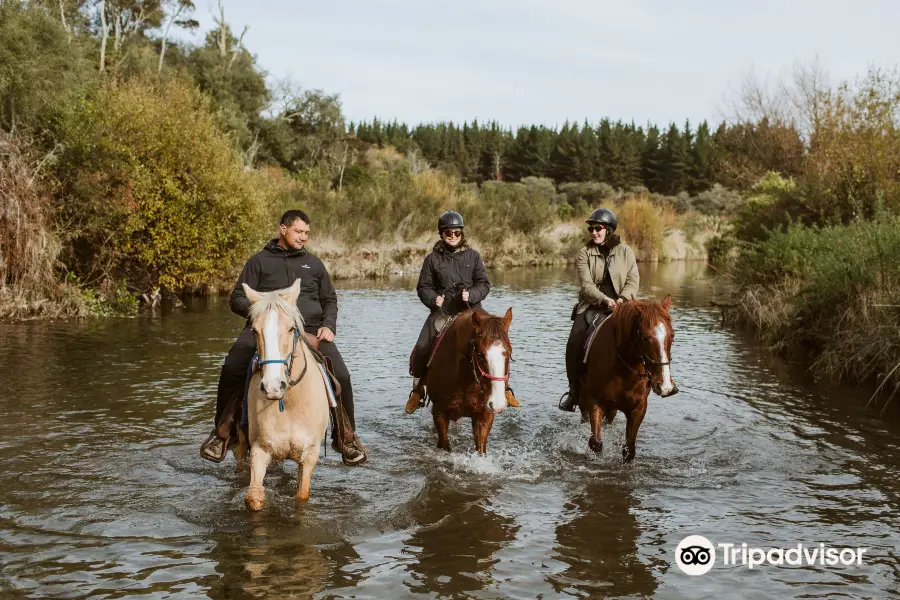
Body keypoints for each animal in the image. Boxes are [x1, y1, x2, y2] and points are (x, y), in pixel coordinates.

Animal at [232, 282, 330, 510]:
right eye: (254, 330)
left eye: (291, 329)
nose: (273, 387)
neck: (291, 403)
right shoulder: (259, 449)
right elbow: (254, 497)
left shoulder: (309, 455)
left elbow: (302, 495)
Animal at [424, 308, 510, 452]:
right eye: (480, 355)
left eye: (509, 353)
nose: (498, 404)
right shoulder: (439, 413)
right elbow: (444, 445)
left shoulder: (484, 415)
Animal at [580, 298, 680, 462]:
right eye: (645, 337)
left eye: (672, 335)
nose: (666, 387)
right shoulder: (595, 401)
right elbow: (596, 443)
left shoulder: (638, 408)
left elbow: (629, 450)